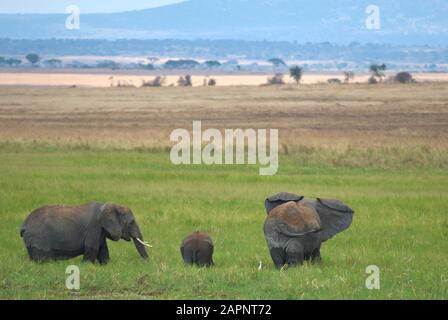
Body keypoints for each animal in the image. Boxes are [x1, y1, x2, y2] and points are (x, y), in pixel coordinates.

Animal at [20, 204, 150, 264]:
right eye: (131, 222)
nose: (148, 263)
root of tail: (24, 226)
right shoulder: (94, 228)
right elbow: (92, 249)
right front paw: (86, 265)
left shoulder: (101, 231)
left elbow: (103, 250)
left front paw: (105, 265)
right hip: (40, 239)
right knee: (45, 259)